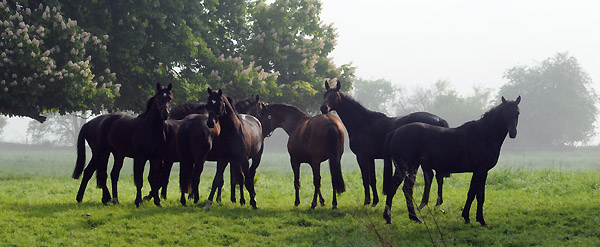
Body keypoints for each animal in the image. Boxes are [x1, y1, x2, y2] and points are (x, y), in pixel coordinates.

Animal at [384, 96, 520, 226]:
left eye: (517, 112)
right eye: (505, 112)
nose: (513, 133)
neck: (482, 135)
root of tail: (395, 132)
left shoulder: (478, 171)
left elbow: (473, 193)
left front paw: (467, 217)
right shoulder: (481, 170)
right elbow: (479, 195)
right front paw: (480, 220)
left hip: (405, 167)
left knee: (399, 188)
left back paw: (401, 218)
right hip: (408, 166)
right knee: (402, 188)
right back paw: (404, 218)